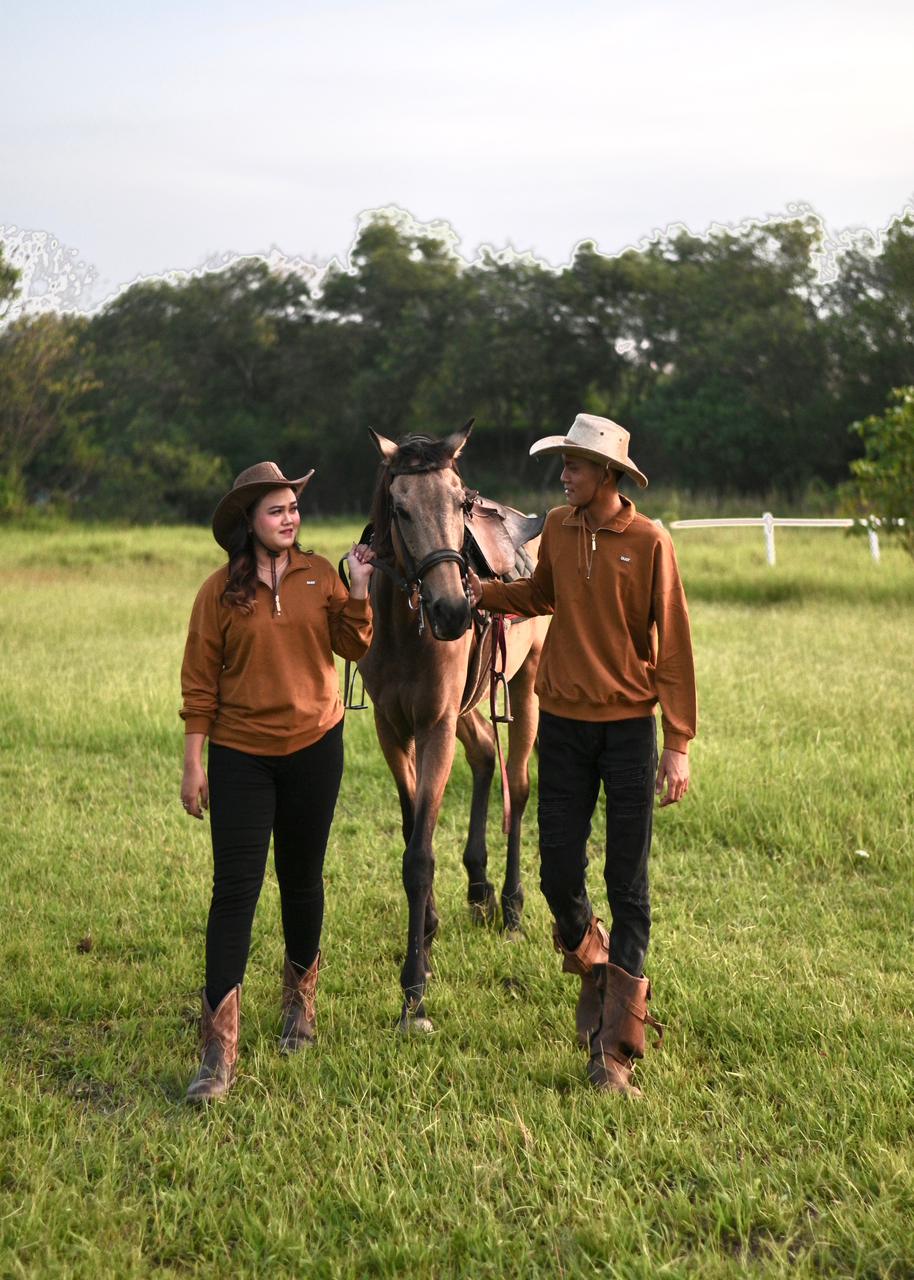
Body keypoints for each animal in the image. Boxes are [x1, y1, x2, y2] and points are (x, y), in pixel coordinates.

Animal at [357, 423, 549, 1032]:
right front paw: (430, 930)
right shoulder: (395, 729)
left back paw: (510, 906)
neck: (404, 630)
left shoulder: (435, 725)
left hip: (525, 685)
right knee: (486, 756)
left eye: (459, 502)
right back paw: (480, 886)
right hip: (466, 709)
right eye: (400, 507)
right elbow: (410, 829)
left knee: (518, 784)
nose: (452, 612)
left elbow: (419, 855)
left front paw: (413, 992)